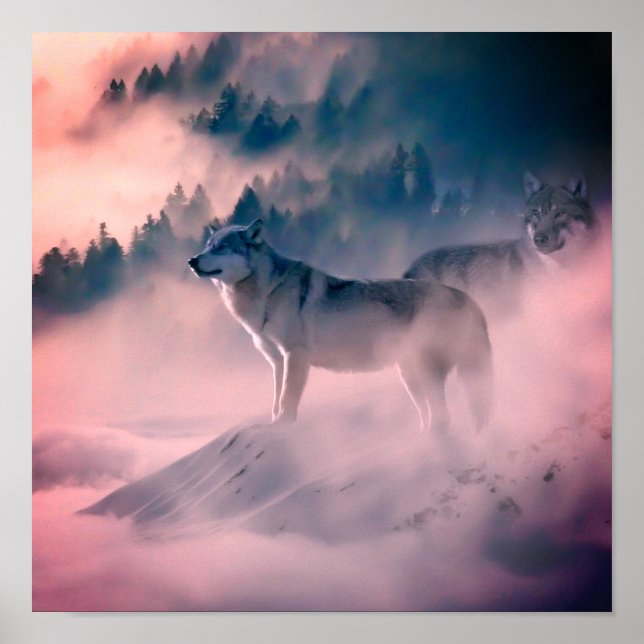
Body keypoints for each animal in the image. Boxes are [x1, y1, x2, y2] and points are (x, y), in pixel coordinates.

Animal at [188, 219, 493, 432]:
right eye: (207, 245)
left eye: (221, 247)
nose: (191, 260)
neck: (267, 292)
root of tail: (467, 299)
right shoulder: (277, 361)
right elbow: (275, 402)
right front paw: (271, 426)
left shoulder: (295, 355)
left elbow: (287, 401)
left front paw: (283, 428)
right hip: (410, 377)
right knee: (432, 416)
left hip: (425, 373)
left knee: (444, 417)